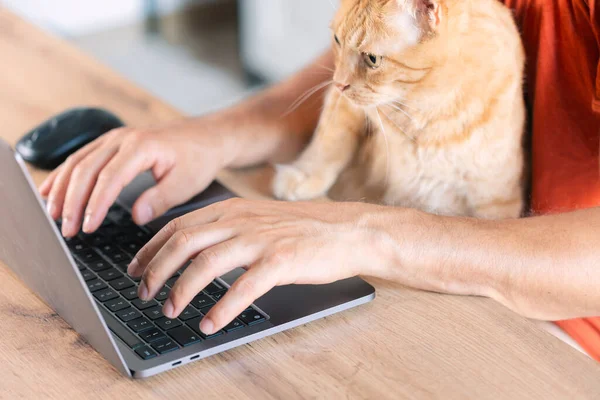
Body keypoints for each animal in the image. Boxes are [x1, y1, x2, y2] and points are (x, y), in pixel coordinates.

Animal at [272, 0, 524, 219]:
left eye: (372, 59)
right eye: (336, 40)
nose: (338, 83)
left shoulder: (495, 202)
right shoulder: (348, 104)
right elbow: (330, 137)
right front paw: (303, 174)